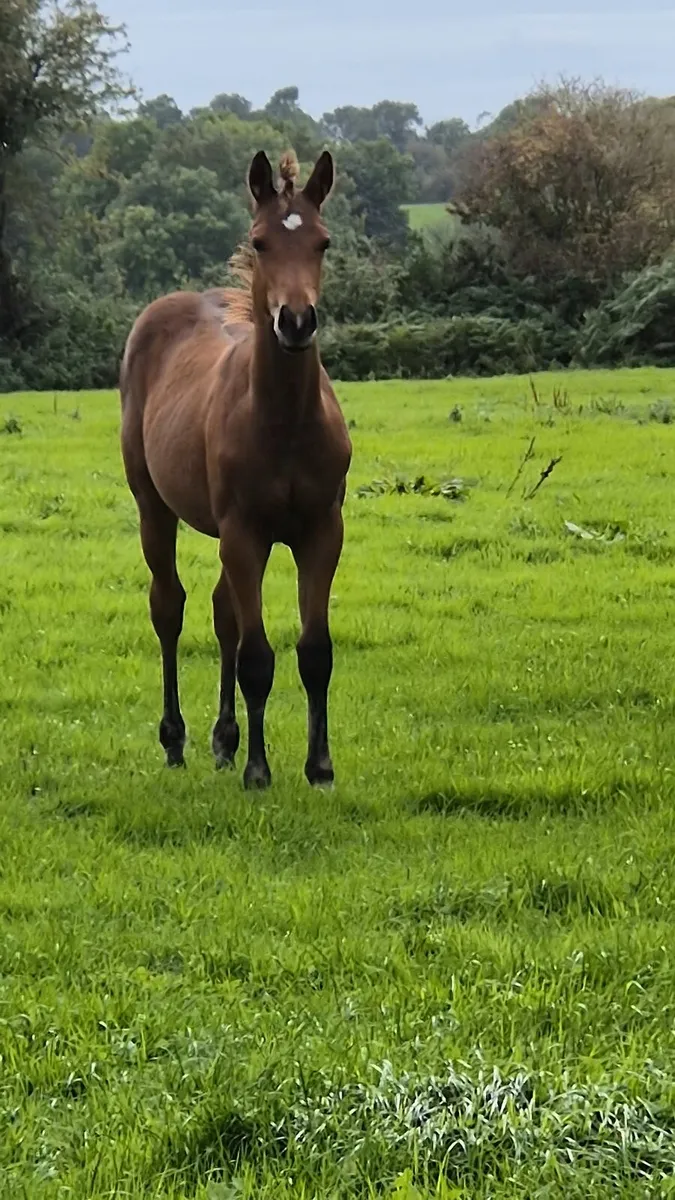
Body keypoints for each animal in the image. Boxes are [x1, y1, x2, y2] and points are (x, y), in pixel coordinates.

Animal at [120, 149, 352, 790]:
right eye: (260, 241)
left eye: (322, 242)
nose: (296, 322)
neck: (284, 424)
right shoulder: (245, 533)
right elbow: (257, 657)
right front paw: (259, 771)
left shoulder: (322, 531)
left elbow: (314, 652)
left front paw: (319, 767)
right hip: (155, 507)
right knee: (169, 605)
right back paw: (176, 740)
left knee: (224, 611)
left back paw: (225, 740)